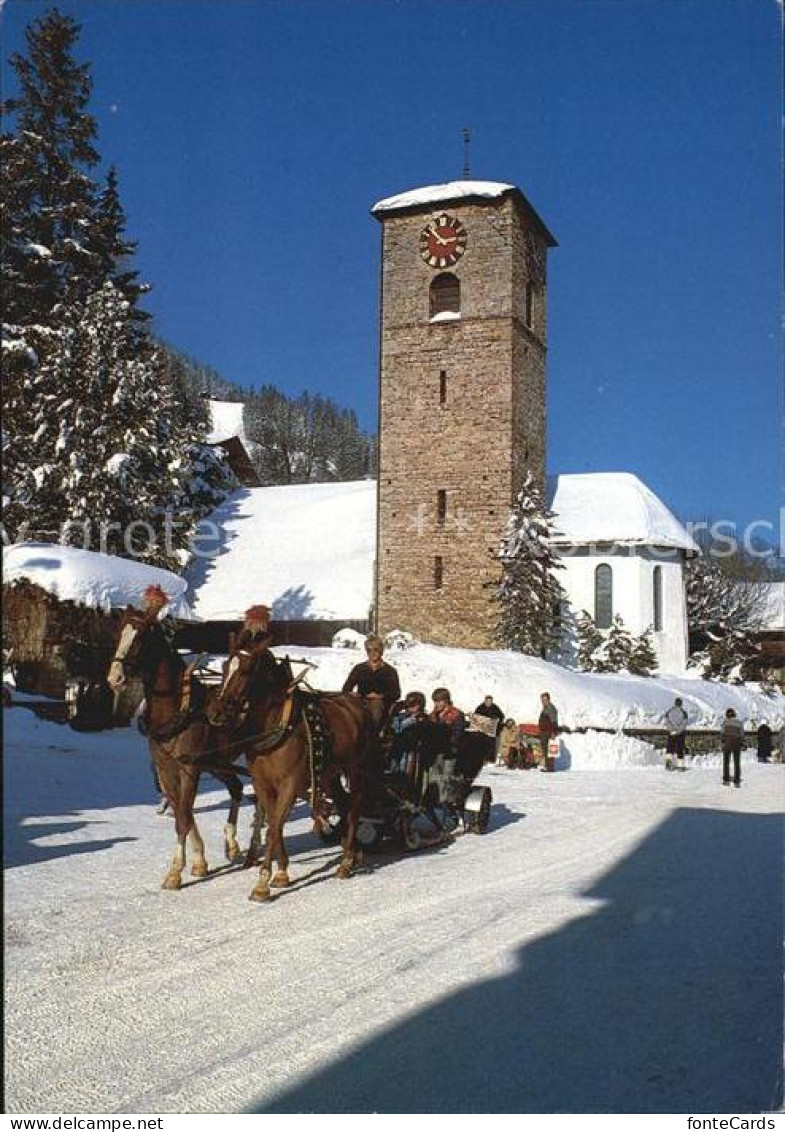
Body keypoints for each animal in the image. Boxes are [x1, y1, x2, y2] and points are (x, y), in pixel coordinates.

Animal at [104, 606, 256, 887]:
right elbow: (181, 812)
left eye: (140, 638)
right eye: (119, 634)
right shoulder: (166, 769)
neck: (177, 710)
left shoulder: (190, 769)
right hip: (218, 763)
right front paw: (198, 862)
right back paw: (233, 844)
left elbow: (184, 815)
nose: (115, 677)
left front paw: (175, 871)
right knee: (237, 789)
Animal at [205, 638, 376, 901]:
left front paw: (262, 883)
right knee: (344, 804)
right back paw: (352, 853)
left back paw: (346, 862)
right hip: (328, 776)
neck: (276, 725)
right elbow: (274, 823)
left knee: (354, 807)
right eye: (224, 667)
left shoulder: (290, 784)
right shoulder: (262, 784)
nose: (216, 713)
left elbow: (275, 827)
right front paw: (281, 873)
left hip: (357, 770)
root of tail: (358, 704)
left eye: (245, 671)